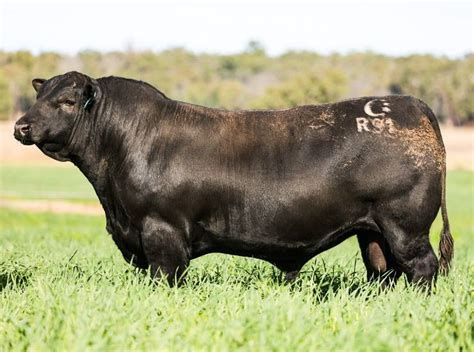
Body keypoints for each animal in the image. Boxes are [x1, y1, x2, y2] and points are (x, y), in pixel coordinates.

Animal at [13, 71, 452, 286]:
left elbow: (164, 279)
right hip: (372, 230)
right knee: (384, 270)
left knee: (422, 267)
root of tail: (409, 104)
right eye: (38, 97)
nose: (20, 126)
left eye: (67, 101)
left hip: (406, 225)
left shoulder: (162, 232)